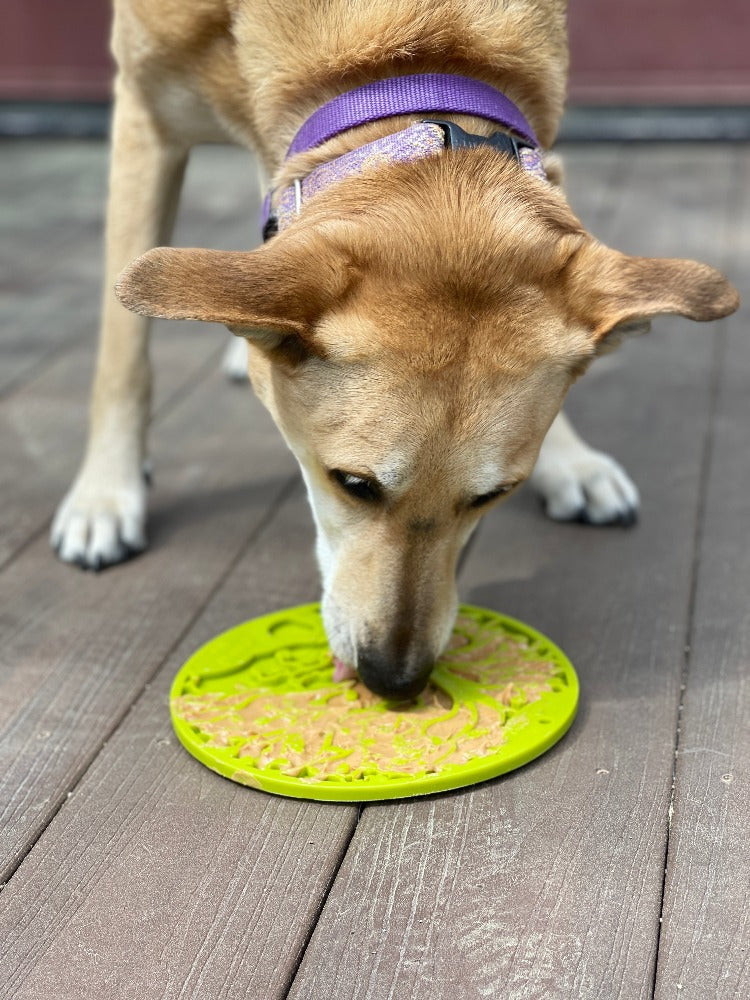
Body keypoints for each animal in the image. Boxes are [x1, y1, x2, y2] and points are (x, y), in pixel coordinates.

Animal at [51, 0, 740, 700]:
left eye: (494, 495)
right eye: (352, 484)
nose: (395, 681)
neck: (402, 55)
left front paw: (569, 459)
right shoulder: (144, 119)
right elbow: (122, 353)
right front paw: (105, 494)